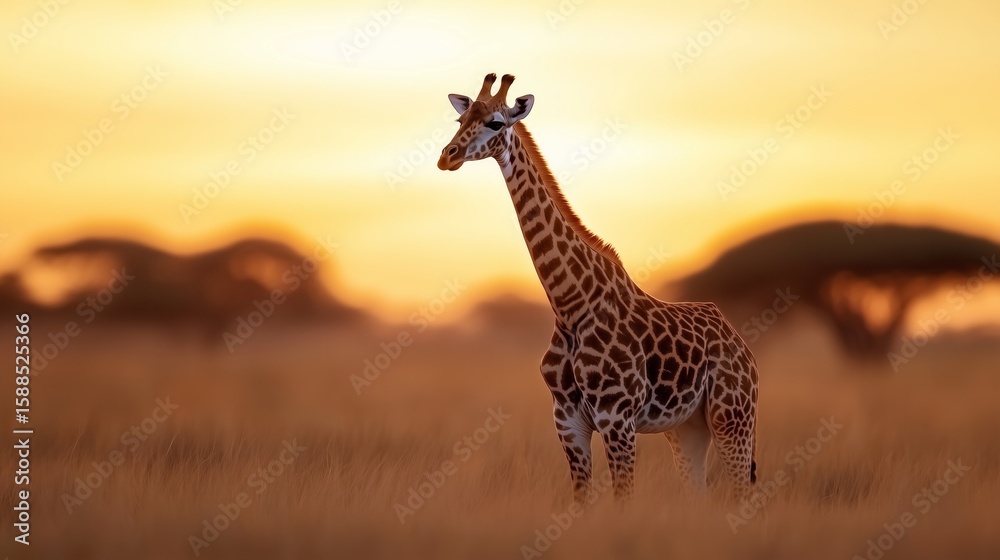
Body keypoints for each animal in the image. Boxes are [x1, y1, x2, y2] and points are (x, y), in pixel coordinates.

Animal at [437, 73, 759, 503]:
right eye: (461, 120)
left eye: (496, 123)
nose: (448, 156)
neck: (570, 305)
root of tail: (741, 346)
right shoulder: (567, 422)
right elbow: (583, 503)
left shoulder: (617, 419)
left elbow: (623, 501)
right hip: (687, 428)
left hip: (733, 418)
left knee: (744, 493)